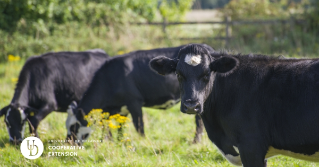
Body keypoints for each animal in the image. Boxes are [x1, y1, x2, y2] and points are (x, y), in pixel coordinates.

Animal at [65, 44, 215, 144]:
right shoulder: (120, 109)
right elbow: (119, 127)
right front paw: (119, 142)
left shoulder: (134, 102)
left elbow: (139, 126)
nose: (68, 142)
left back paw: (196, 141)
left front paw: (143, 142)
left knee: (198, 121)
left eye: (74, 125)